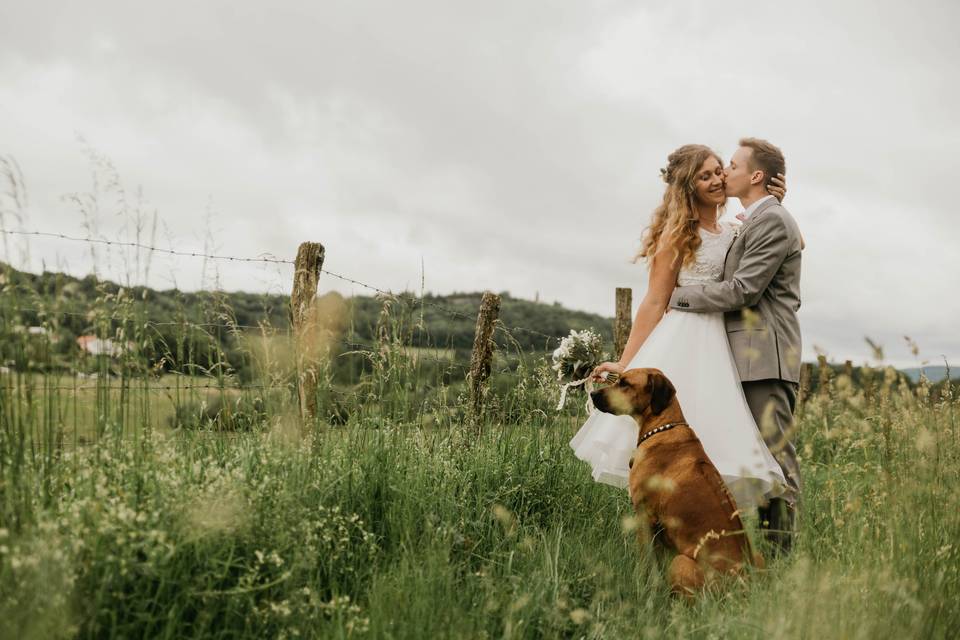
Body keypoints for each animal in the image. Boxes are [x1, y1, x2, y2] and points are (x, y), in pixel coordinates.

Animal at [588, 368, 760, 596]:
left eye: (625, 383)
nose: (593, 395)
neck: (663, 427)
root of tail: (743, 583)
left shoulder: (644, 515)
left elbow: (645, 560)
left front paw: (641, 585)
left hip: (681, 563)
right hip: (757, 556)